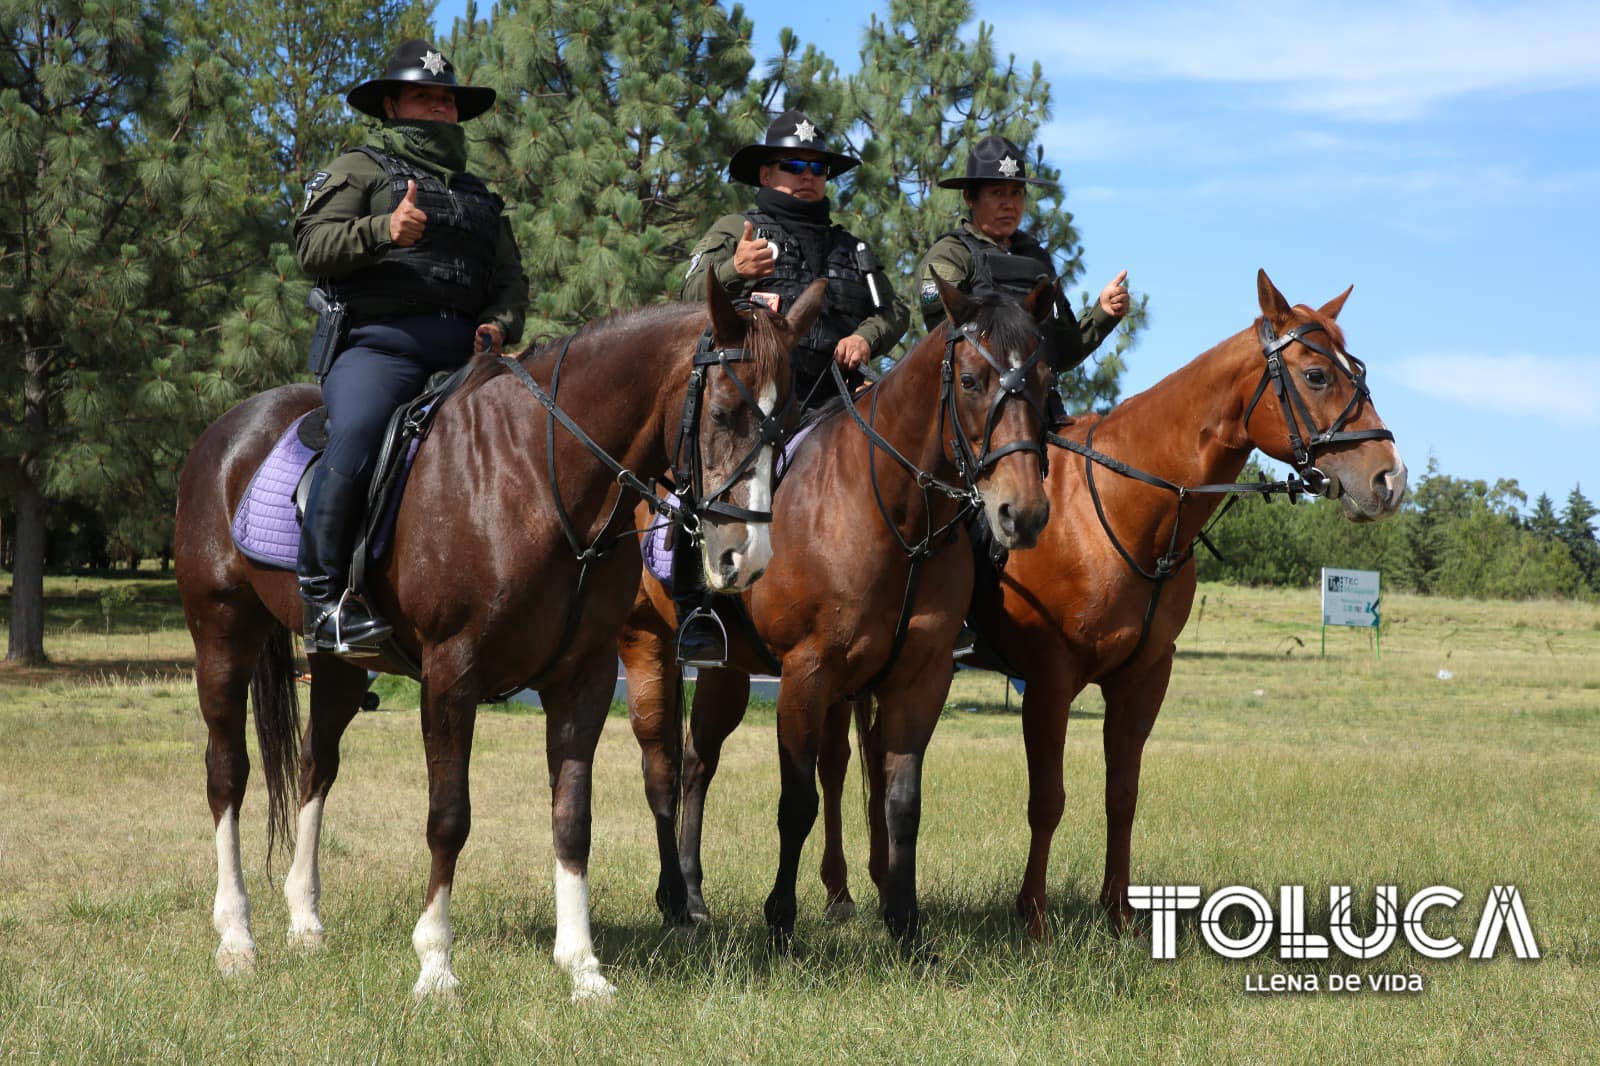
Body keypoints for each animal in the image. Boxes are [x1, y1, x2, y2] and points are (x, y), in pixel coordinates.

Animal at [175, 273, 825, 998]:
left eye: (787, 420)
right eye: (723, 416)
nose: (747, 557)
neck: (534, 477)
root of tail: (227, 430)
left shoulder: (583, 678)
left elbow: (573, 817)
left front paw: (583, 968)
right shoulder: (451, 673)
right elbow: (448, 817)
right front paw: (435, 965)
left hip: (339, 664)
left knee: (317, 765)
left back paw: (305, 922)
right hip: (221, 636)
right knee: (227, 774)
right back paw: (237, 937)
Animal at [617, 278, 1056, 947]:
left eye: (1047, 377)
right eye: (972, 380)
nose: (1023, 512)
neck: (896, 518)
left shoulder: (919, 679)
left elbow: (902, 803)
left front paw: (905, 927)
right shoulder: (808, 673)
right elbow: (797, 801)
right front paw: (780, 923)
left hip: (728, 671)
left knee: (697, 763)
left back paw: (692, 892)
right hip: (647, 642)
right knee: (661, 763)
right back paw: (675, 897)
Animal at [832, 270, 1408, 934]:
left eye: (1356, 371)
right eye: (1316, 375)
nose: (1390, 478)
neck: (1120, 505)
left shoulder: (1144, 678)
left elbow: (1122, 795)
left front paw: (1121, 912)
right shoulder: (1050, 682)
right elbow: (1047, 800)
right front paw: (1033, 916)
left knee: (876, 756)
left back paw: (880, 879)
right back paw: (842, 893)